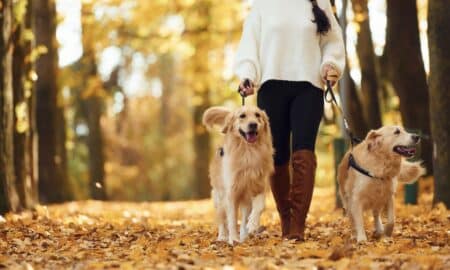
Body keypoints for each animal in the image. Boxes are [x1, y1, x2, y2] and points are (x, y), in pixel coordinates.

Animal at [203, 105, 274, 245]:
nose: (253, 124)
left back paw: (244, 236)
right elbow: (232, 219)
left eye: (257, 115)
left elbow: (260, 206)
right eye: (242, 116)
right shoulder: (231, 193)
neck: (248, 153)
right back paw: (223, 236)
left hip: (245, 200)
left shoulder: (258, 187)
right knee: (221, 218)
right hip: (218, 196)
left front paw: (252, 224)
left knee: (244, 217)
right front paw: (233, 239)